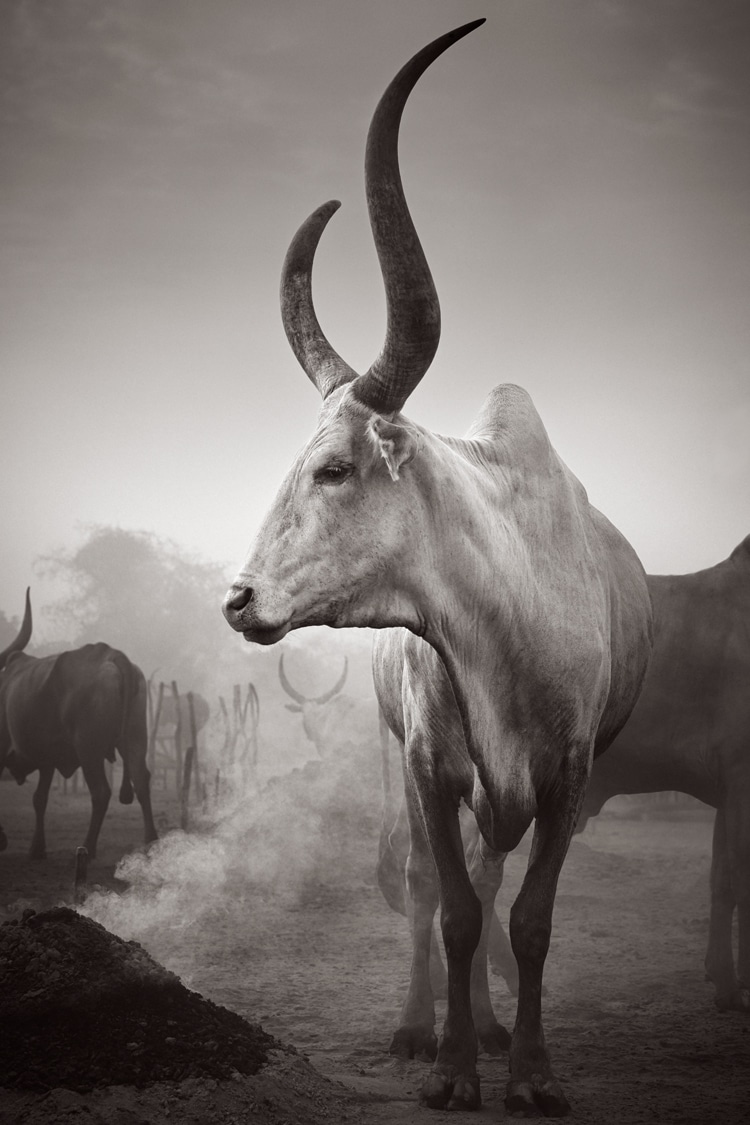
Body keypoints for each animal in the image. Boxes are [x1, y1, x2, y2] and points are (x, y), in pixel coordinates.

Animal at [0, 594, 158, 855]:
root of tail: (113, 655)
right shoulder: (47, 759)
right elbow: (40, 797)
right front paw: (37, 848)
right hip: (134, 738)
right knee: (141, 780)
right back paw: (151, 841)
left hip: (88, 749)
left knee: (101, 792)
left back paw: (88, 848)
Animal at [221, 19, 652, 1116]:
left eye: (335, 468)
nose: (239, 600)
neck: (505, 618)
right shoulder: (426, 763)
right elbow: (449, 908)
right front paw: (453, 1064)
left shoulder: (569, 774)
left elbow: (527, 919)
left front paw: (529, 1068)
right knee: (426, 887)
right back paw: (427, 1025)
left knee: (492, 882)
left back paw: (494, 1027)